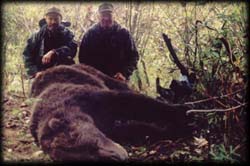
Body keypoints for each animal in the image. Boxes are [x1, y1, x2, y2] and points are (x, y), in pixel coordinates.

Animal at [30, 82, 189, 161]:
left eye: (92, 144)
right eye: (87, 155)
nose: (118, 157)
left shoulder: (89, 98)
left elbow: (131, 101)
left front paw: (181, 115)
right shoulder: (106, 125)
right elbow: (132, 129)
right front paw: (166, 130)